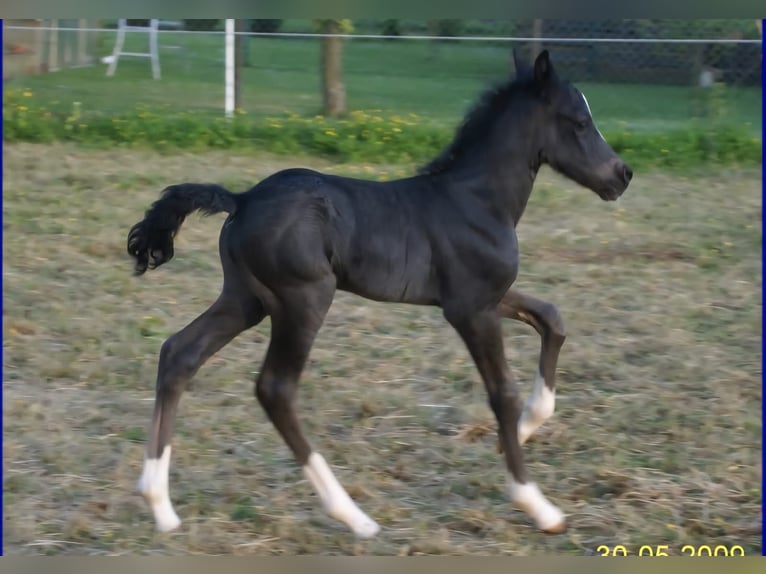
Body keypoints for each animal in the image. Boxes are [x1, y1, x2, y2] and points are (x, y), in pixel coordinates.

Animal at [127, 50, 632, 539]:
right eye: (579, 121)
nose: (622, 174)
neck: (477, 201)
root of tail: (242, 198)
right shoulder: (470, 310)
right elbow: (501, 391)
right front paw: (536, 504)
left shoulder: (486, 297)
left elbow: (552, 317)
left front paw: (528, 425)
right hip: (303, 299)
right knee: (275, 388)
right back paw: (353, 516)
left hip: (245, 300)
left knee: (180, 353)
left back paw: (159, 504)